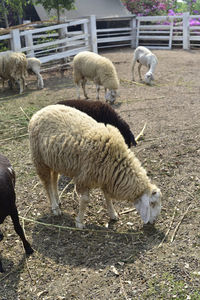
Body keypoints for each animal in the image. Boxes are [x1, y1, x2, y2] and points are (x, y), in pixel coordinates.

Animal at [28, 104, 162, 229]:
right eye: (152, 203)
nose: (153, 222)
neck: (116, 161)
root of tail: (41, 110)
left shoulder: (105, 178)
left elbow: (108, 197)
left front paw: (113, 214)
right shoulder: (84, 179)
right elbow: (85, 200)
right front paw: (79, 222)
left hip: (54, 160)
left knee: (54, 180)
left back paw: (58, 200)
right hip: (39, 159)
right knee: (47, 183)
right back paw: (55, 207)